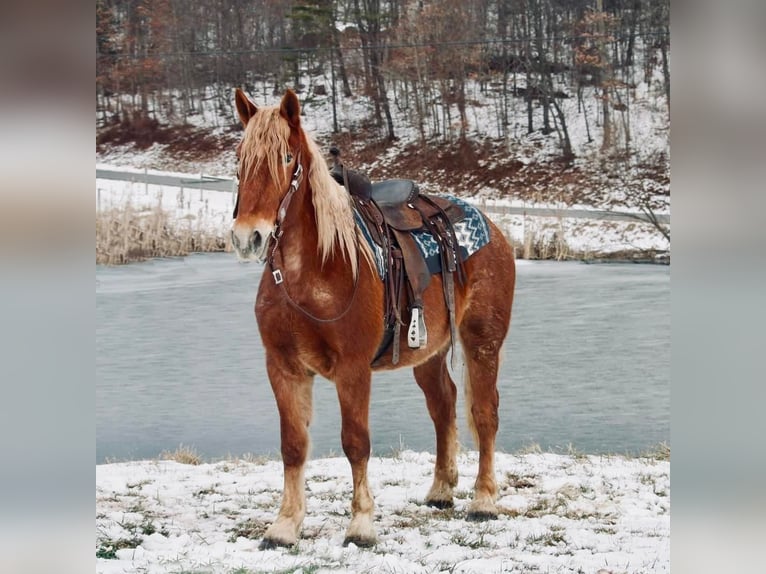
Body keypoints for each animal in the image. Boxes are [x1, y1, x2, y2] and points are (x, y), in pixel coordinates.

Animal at [228, 89, 516, 548]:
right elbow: (293, 445)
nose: (247, 237)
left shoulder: (352, 370)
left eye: (288, 158)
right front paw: (285, 525)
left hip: (482, 342)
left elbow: (356, 443)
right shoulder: (283, 367)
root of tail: (491, 226)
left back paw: (484, 500)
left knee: (485, 412)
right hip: (428, 353)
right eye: (240, 157)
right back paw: (441, 489)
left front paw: (361, 525)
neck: (316, 269)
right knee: (443, 404)